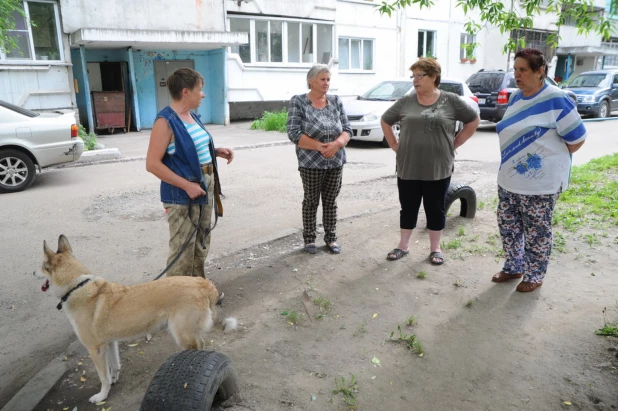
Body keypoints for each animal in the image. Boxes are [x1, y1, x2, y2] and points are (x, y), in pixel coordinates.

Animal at [37, 237, 236, 404]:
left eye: (41, 267)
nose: (32, 272)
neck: (77, 286)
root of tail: (202, 283)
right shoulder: (110, 343)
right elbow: (114, 366)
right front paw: (114, 379)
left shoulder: (95, 349)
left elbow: (103, 377)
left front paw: (102, 395)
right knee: (201, 343)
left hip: (182, 334)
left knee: (198, 346)